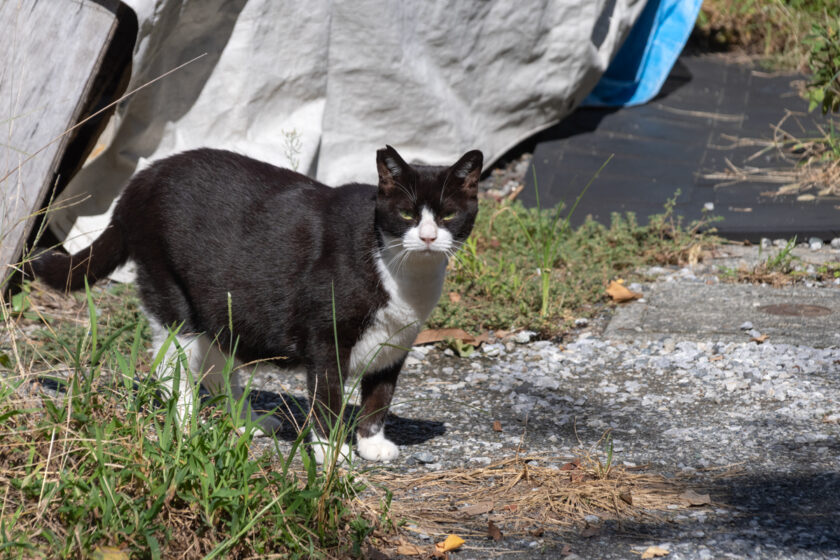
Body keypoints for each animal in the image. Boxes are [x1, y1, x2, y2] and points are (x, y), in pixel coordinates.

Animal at [29, 144, 482, 464]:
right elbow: (328, 401)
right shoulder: (326, 341)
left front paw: (371, 445)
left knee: (217, 367)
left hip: (221, 307)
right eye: (406, 214)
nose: (427, 237)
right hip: (172, 294)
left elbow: (380, 397)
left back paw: (246, 421)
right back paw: (188, 425)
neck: (406, 275)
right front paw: (331, 455)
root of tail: (140, 179)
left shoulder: (396, 343)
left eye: (447, 215)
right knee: (172, 367)